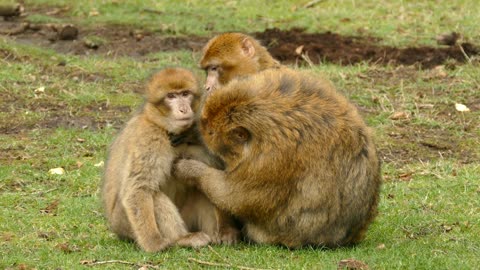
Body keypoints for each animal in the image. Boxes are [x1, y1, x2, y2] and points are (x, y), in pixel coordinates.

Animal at [101, 67, 238, 253]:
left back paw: (221, 232)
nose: (183, 109)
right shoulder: (149, 138)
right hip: (124, 224)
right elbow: (138, 189)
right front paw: (153, 243)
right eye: (171, 96)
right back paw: (182, 239)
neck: (165, 128)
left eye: (185, 94)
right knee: (153, 195)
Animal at [174, 68, 380, 249]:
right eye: (204, 122)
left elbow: (236, 196)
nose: (198, 130)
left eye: (210, 132)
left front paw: (191, 169)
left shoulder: (269, 160)